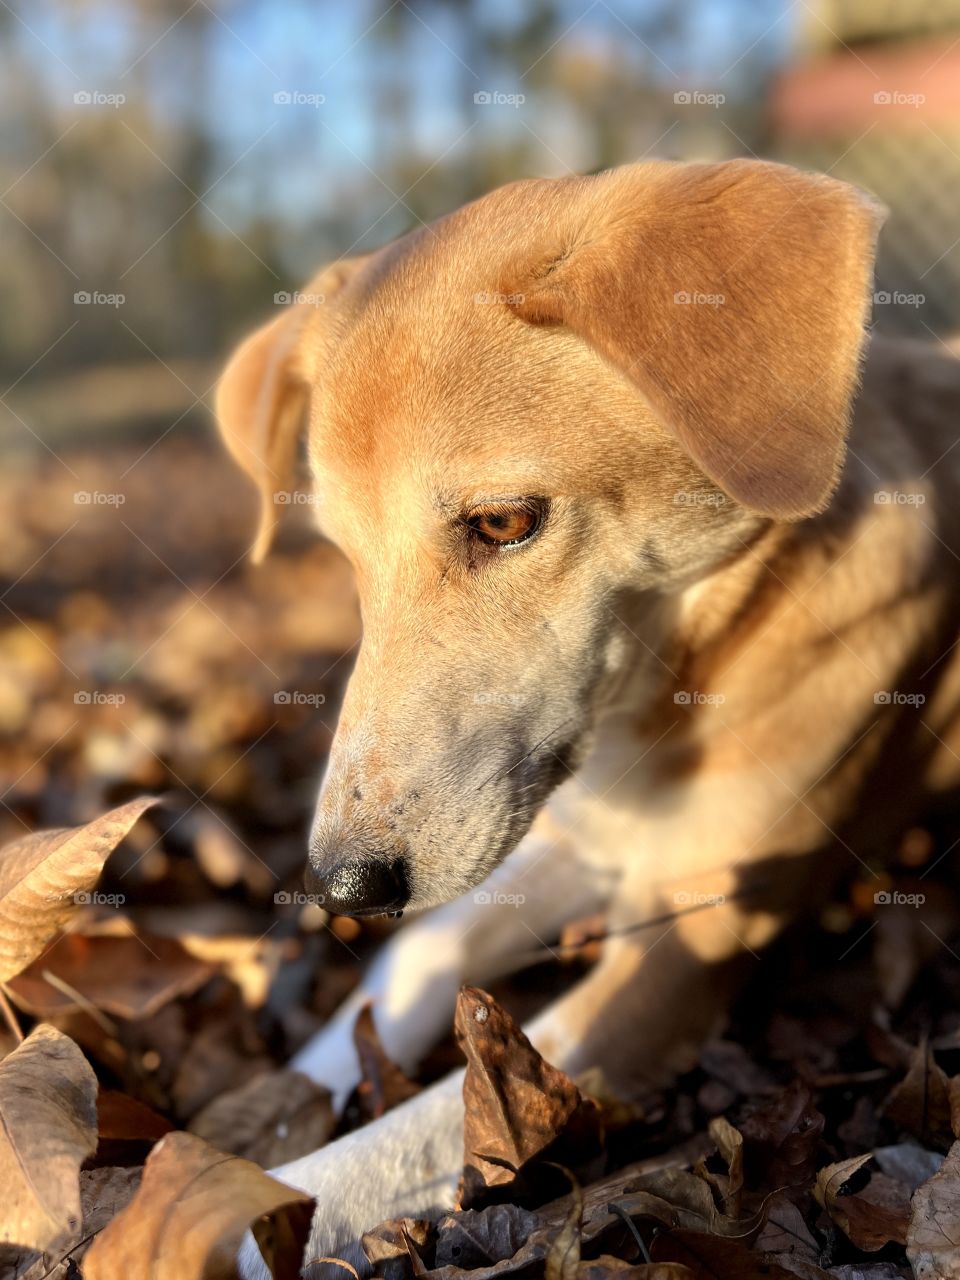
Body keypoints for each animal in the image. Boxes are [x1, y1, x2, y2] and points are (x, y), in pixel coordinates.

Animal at [213, 157, 960, 1269]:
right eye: (345, 557)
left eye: (501, 522)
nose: (343, 884)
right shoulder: (571, 839)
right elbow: (417, 954)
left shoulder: (679, 949)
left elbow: (396, 1139)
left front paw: (206, 1215)